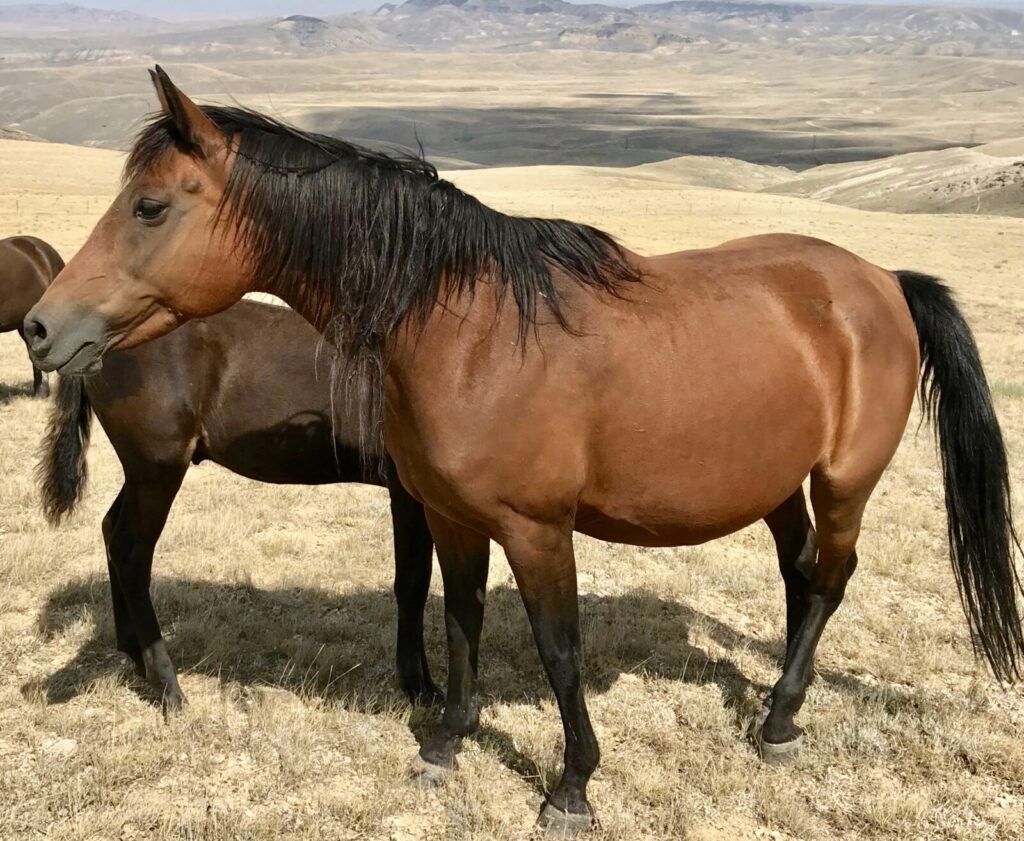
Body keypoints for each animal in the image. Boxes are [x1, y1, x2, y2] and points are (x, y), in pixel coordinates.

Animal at [38, 298, 441, 713]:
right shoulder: (407, 494)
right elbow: (413, 582)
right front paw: (419, 687)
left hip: (145, 472)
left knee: (110, 529)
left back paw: (134, 654)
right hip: (156, 471)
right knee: (130, 553)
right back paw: (167, 685)